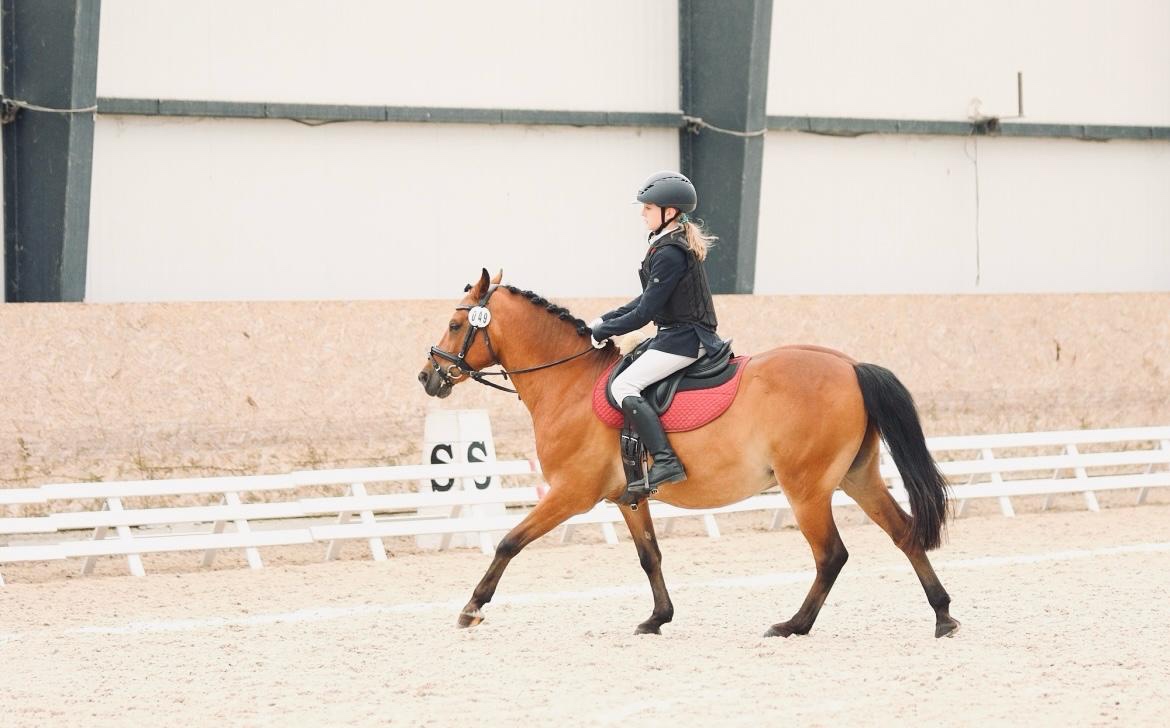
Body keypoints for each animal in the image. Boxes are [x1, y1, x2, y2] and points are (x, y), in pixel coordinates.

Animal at [418, 269, 960, 638]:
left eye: (454, 324)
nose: (427, 377)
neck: (569, 385)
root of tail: (850, 366)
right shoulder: (628, 498)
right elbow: (650, 556)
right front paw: (658, 618)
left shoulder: (570, 493)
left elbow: (509, 542)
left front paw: (472, 607)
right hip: (857, 476)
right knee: (904, 533)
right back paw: (943, 615)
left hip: (806, 489)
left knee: (831, 555)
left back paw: (793, 625)